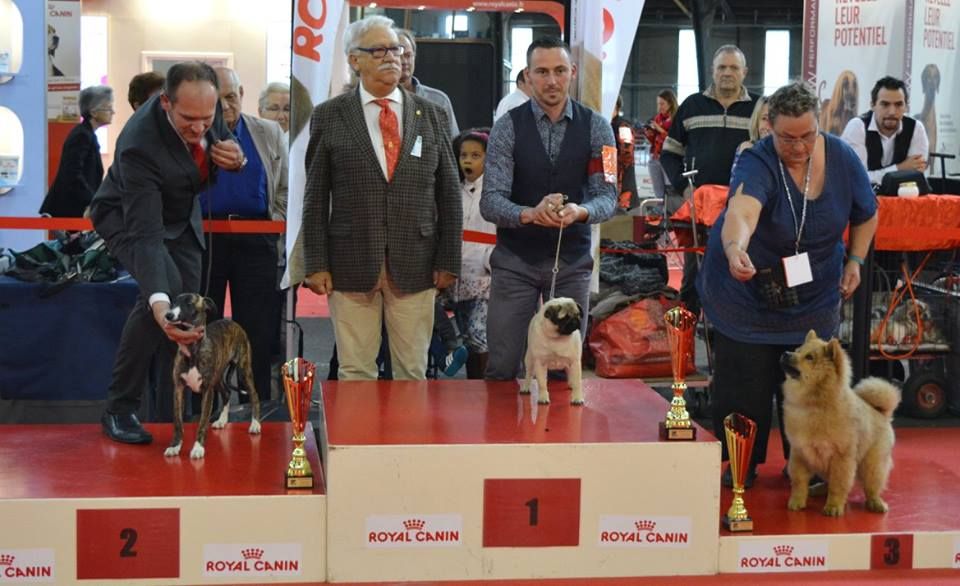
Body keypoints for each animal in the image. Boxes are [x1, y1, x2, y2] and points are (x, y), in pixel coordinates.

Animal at [164, 293, 261, 459]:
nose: (168, 315)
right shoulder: (178, 389)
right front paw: (175, 446)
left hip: (244, 371)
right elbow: (177, 422)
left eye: (189, 303)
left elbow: (202, 422)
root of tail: (232, 322)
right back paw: (222, 420)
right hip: (218, 377)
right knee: (227, 393)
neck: (192, 350)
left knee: (254, 394)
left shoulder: (207, 391)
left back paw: (255, 424)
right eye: (173, 302)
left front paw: (198, 447)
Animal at [780, 330, 901, 516]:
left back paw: (876, 503)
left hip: (872, 464)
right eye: (797, 350)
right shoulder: (799, 453)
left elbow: (838, 485)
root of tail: (881, 413)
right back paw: (817, 489)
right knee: (827, 482)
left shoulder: (841, 457)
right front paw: (797, 502)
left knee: (872, 487)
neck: (814, 404)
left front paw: (833, 507)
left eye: (809, 357)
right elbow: (799, 482)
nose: (786, 353)